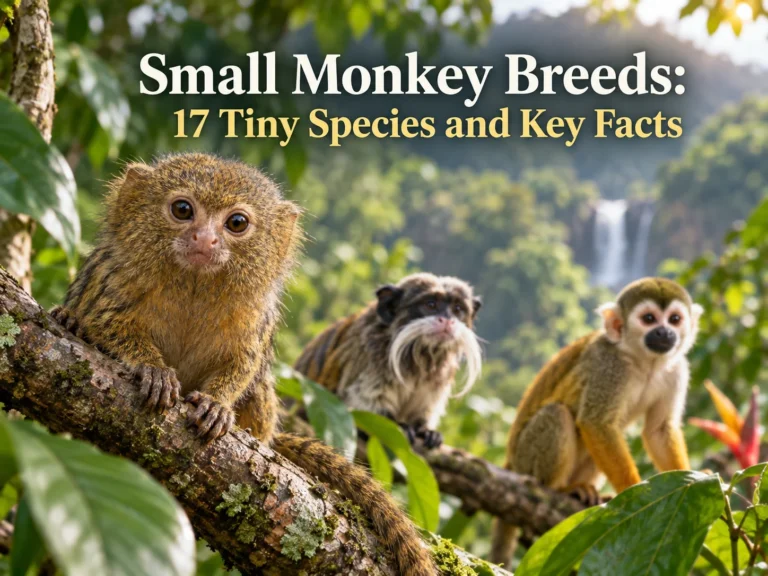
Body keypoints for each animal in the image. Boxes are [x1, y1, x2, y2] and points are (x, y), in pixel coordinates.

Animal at [49, 154, 436, 576]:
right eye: (182, 210)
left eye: (236, 223)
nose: (204, 239)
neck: (193, 287)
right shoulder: (112, 279)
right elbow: (107, 324)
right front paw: (153, 369)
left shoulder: (255, 317)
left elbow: (244, 365)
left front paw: (217, 404)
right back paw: (68, 321)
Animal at [294, 273, 483, 449]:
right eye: (431, 305)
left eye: (457, 309)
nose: (448, 320)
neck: (419, 354)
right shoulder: (369, 351)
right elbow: (363, 399)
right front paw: (400, 426)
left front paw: (426, 430)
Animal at [490, 277, 701, 569]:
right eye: (649, 319)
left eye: (675, 319)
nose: (664, 332)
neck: (645, 361)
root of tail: (510, 462)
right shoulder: (609, 365)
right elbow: (595, 422)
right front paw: (634, 492)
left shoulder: (677, 369)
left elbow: (659, 430)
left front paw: (687, 477)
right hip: (524, 459)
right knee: (557, 415)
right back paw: (561, 487)